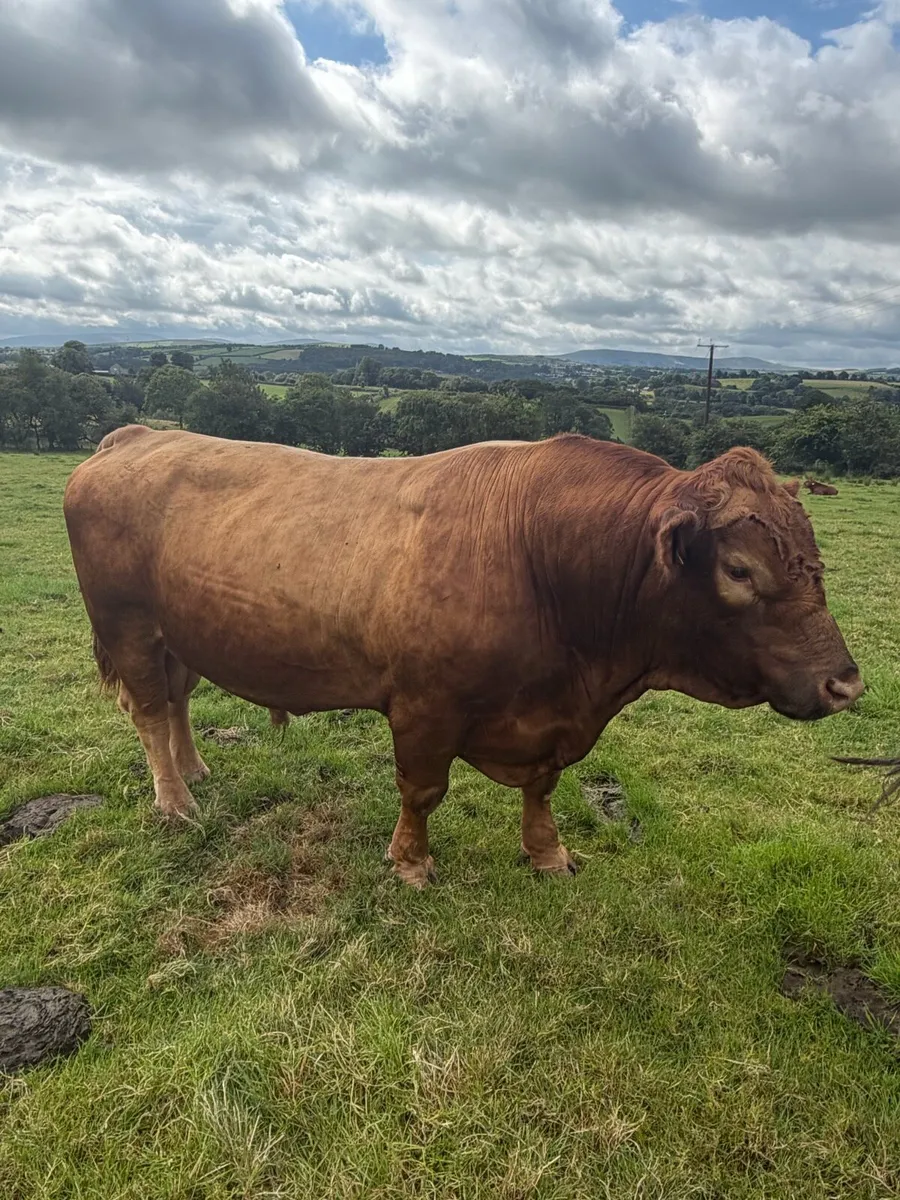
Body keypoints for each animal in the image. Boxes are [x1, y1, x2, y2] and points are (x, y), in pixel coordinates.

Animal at [63, 426, 863, 888]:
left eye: (815, 558)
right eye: (739, 570)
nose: (846, 684)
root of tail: (133, 437)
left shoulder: (550, 721)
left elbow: (543, 789)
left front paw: (547, 853)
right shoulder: (425, 707)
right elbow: (422, 791)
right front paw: (412, 863)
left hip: (182, 632)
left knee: (177, 700)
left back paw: (196, 769)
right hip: (130, 626)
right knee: (148, 709)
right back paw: (176, 802)